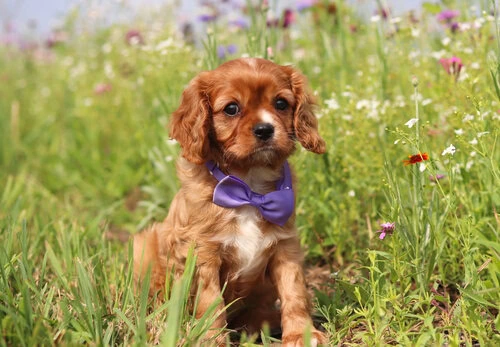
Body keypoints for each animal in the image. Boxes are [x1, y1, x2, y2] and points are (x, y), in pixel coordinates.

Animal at [134, 58, 328, 346]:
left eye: (281, 103)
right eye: (231, 109)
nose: (265, 129)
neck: (248, 187)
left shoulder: (285, 246)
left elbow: (294, 292)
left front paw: (302, 334)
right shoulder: (202, 253)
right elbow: (210, 301)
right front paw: (211, 339)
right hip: (144, 247)